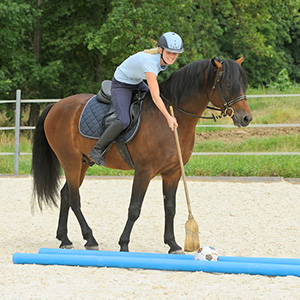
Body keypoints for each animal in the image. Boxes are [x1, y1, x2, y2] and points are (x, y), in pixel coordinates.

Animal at [31, 56, 252, 253]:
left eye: (244, 84)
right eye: (228, 84)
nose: (246, 118)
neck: (170, 118)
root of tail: (56, 105)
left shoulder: (172, 173)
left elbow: (170, 208)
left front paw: (173, 244)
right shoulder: (144, 171)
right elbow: (134, 208)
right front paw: (124, 244)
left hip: (83, 163)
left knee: (66, 194)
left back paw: (65, 239)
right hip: (70, 160)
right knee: (74, 198)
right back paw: (90, 239)